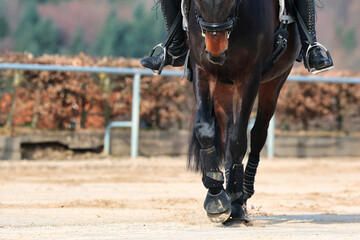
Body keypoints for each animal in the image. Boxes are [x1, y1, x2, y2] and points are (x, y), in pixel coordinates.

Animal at [187, 0, 300, 223]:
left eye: (231, 1)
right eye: (198, 3)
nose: (216, 52)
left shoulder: (250, 77)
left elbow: (239, 140)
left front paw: (237, 204)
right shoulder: (202, 69)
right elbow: (205, 130)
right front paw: (216, 195)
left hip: (275, 80)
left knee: (258, 132)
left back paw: (242, 194)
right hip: (224, 84)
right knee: (226, 134)